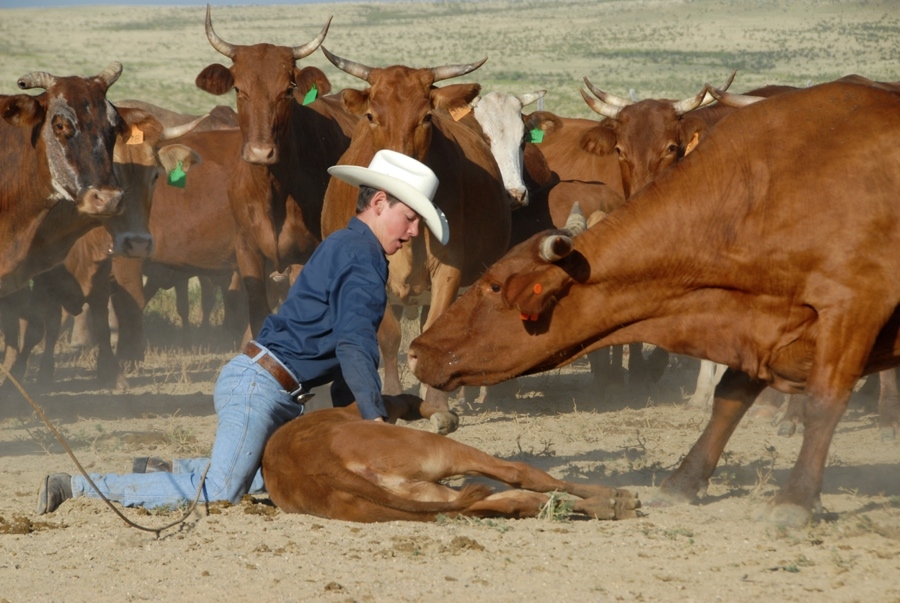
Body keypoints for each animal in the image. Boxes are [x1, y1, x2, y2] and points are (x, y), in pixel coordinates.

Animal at [197, 7, 358, 336]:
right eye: (238, 88)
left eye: (287, 91)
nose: (261, 152)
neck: (273, 190)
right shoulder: (248, 251)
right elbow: (258, 312)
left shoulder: (309, 254)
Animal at [260, 396, 640, 524]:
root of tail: (319, 464)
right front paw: (444, 416)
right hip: (444, 452)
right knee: (522, 478)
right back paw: (613, 498)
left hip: (425, 497)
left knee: (519, 500)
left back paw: (608, 506)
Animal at [320, 48, 510, 434]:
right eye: (371, 115)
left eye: (425, 117)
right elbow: (389, 337)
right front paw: (394, 398)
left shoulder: (448, 271)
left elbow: (434, 329)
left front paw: (438, 405)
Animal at [408, 81, 900, 528]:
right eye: (620, 149)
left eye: (494, 287)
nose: (417, 351)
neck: (763, 194)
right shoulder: (758, 316)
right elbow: (730, 396)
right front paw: (684, 481)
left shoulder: (849, 311)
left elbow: (823, 402)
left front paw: (795, 500)